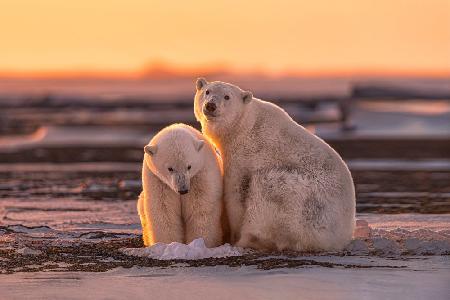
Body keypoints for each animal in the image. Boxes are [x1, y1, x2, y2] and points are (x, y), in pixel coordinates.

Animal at [193, 78, 356, 252]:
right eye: (207, 91)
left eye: (227, 96)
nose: (211, 105)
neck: (244, 126)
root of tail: (341, 238)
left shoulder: (246, 155)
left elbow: (236, 193)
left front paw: (233, 237)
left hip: (307, 208)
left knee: (268, 187)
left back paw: (248, 240)